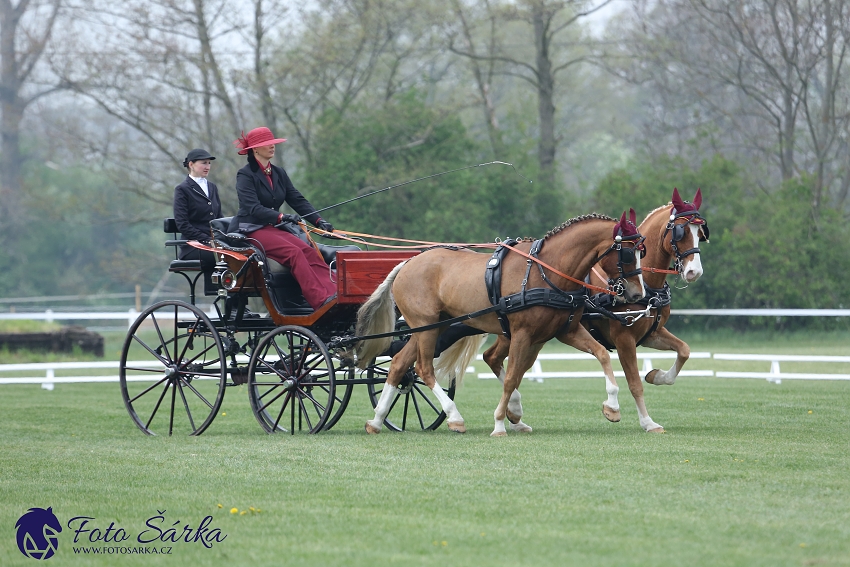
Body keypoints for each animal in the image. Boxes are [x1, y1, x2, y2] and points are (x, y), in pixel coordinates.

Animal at [352, 211, 644, 438]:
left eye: (643, 251)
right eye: (628, 253)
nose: (637, 294)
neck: (546, 271)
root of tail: (408, 263)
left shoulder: (566, 331)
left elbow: (602, 354)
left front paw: (612, 407)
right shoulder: (522, 333)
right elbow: (512, 377)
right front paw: (499, 424)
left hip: (433, 327)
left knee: (400, 364)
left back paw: (376, 420)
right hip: (427, 327)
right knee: (424, 369)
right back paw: (454, 417)